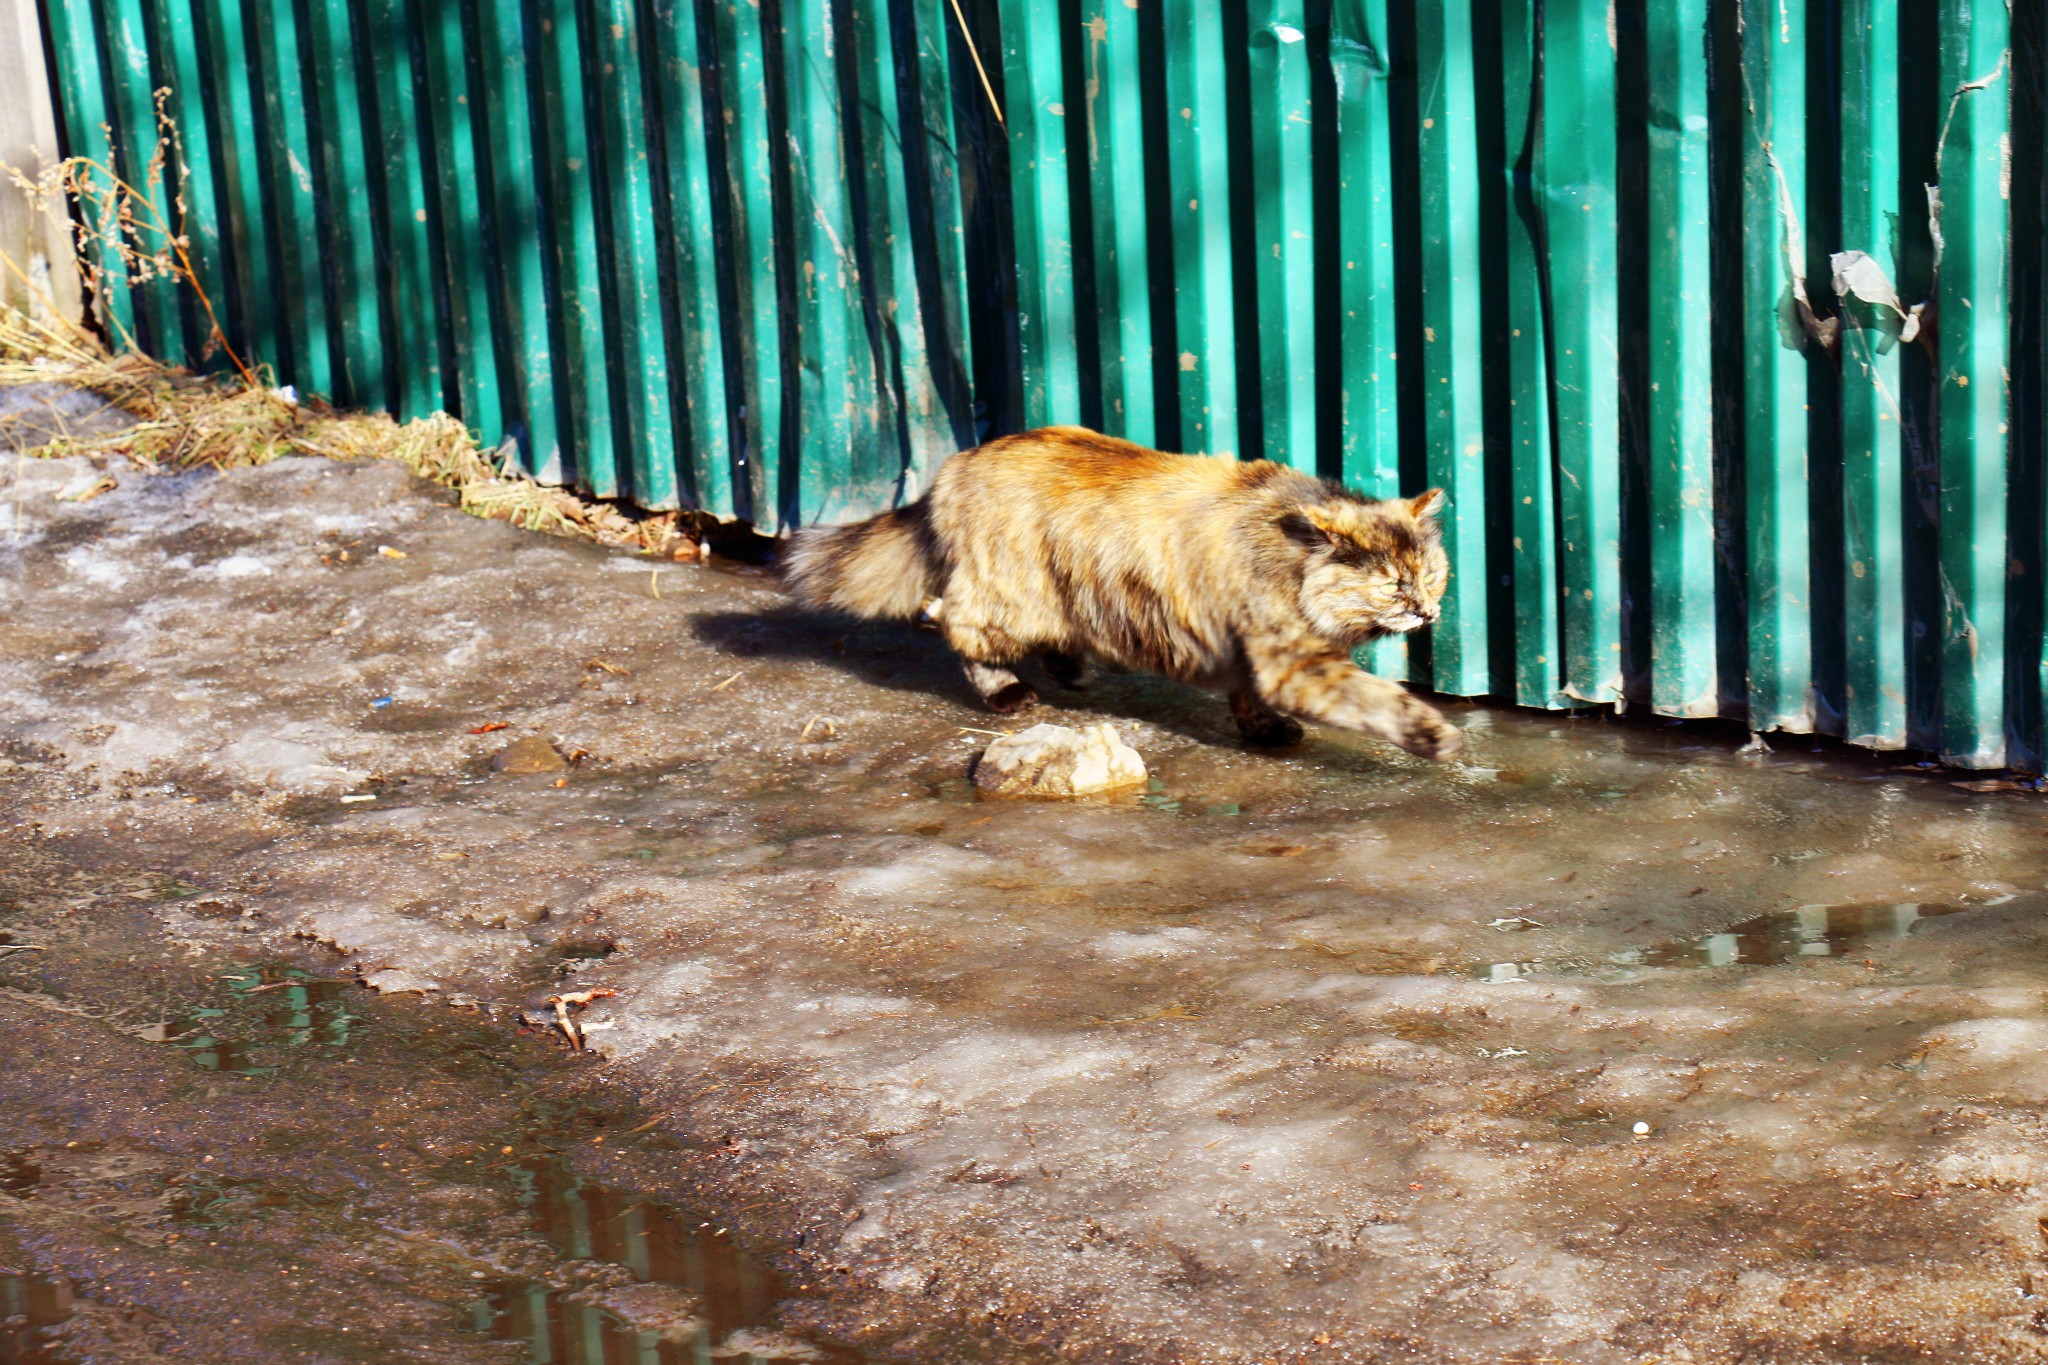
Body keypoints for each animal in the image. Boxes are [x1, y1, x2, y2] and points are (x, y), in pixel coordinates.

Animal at [774, 427, 1466, 765]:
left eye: (1432, 574)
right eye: (1393, 583)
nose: (1428, 610)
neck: (1289, 551)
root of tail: (956, 464)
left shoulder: (1250, 650)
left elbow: (1246, 695)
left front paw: (1264, 731)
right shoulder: (1292, 661)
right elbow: (1378, 701)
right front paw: (1433, 735)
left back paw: (1071, 669)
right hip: (1009, 599)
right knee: (948, 619)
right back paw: (1007, 692)